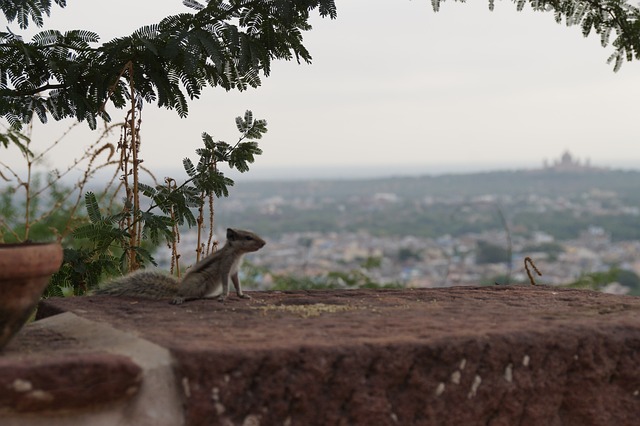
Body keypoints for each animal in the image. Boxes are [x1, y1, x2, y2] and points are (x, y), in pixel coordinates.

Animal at [92, 230, 264, 302]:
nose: (264, 243)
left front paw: (242, 295)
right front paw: (224, 296)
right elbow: (226, 283)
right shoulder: (226, 267)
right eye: (248, 238)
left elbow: (237, 283)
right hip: (199, 282)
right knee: (188, 295)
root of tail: (179, 288)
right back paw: (181, 298)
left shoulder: (234, 271)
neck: (237, 254)